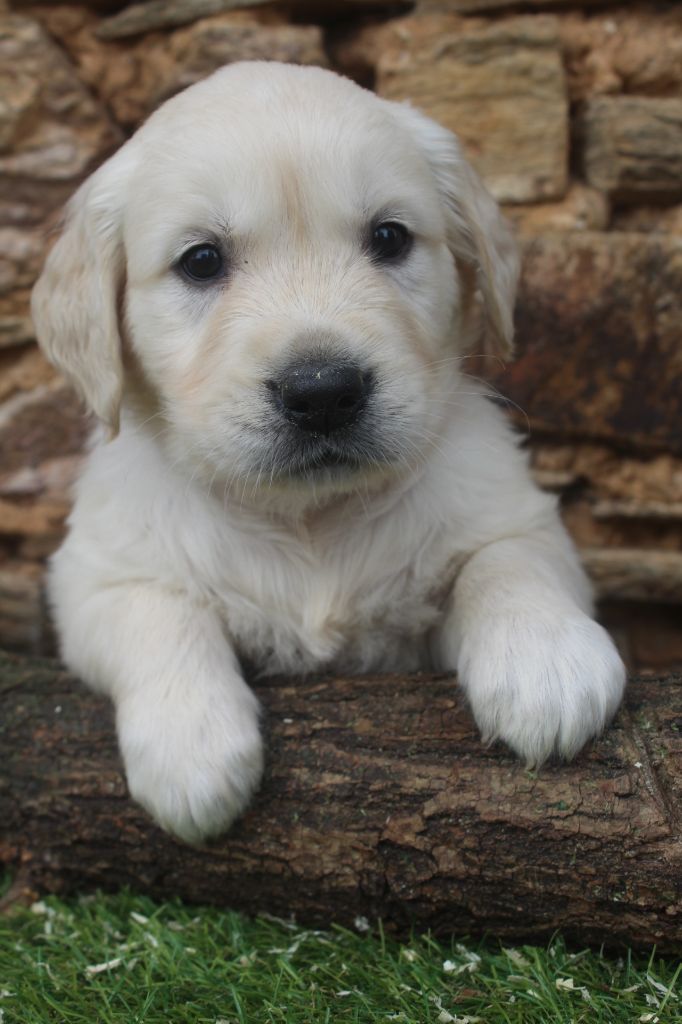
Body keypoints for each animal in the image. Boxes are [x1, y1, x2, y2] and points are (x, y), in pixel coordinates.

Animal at [34, 66, 622, 847]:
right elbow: (157, 611)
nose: (322, 393)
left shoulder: (514, 515)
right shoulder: (94, 576)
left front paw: (547, 664)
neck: (310, 519)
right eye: (201, 261)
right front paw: (191, 748)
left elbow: (507, 562)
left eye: (389, 238)